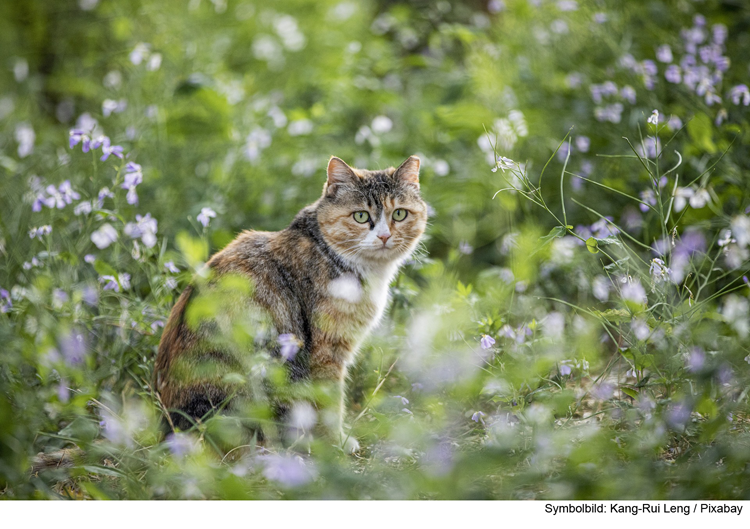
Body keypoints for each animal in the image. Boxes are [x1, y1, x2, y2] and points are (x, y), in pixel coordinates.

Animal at [154, 153, 428, 450]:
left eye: (399, 213)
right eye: (361, 216)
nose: (385, 236)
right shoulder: (327, 350)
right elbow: (330, 402)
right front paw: (336, 443)